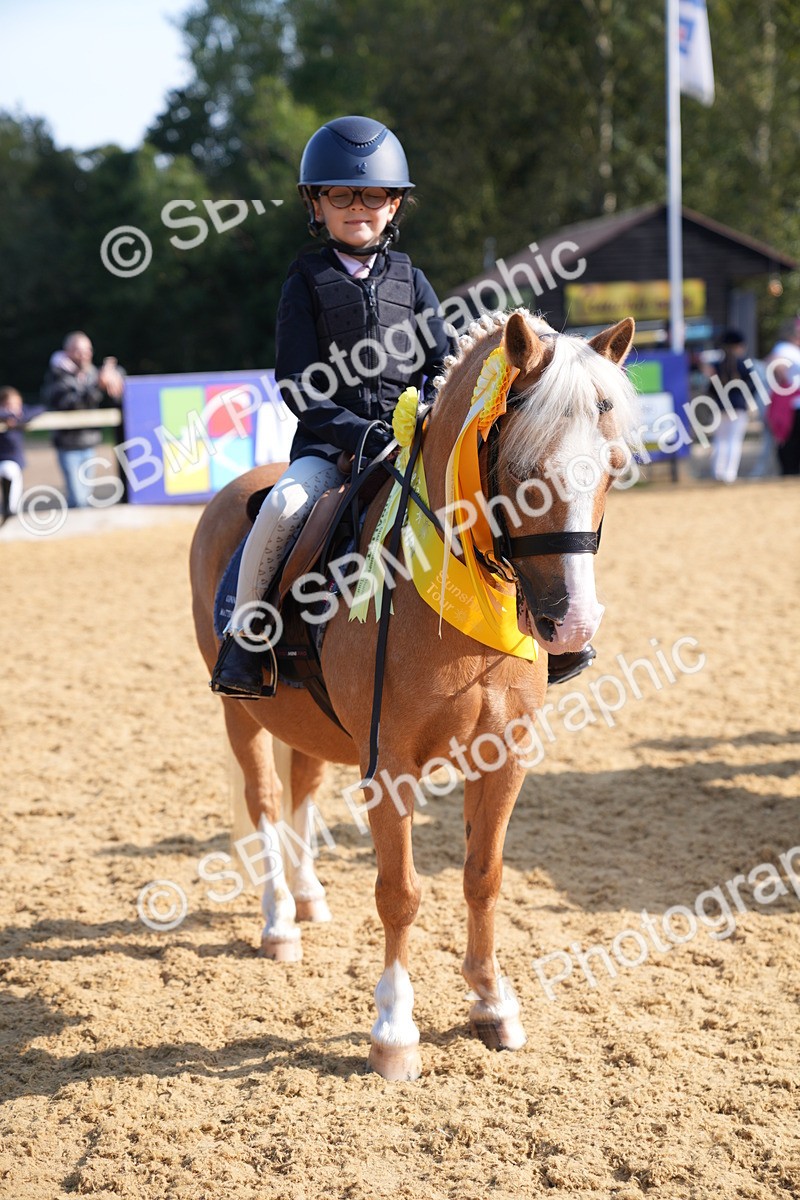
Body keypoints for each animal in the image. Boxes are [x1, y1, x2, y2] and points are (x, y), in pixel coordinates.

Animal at [189, 308, 639, 1080]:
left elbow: (482, 876)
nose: (573, 625)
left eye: (613, 466)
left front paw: (492, 1003)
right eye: (523, 471)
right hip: (239, 712)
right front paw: (395, 1030)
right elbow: (399, 894)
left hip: (309, 725)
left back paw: (308, 899)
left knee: (301, 789)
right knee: (265, 802)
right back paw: (280, 922)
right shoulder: (389, 766)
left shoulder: (504, 759)